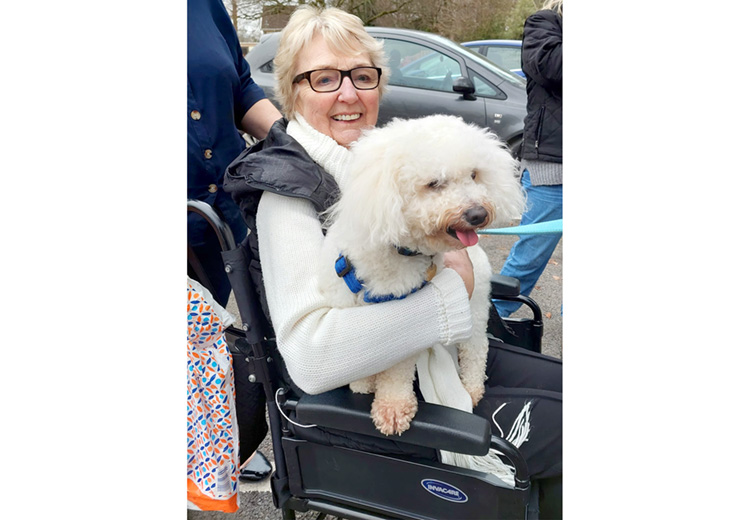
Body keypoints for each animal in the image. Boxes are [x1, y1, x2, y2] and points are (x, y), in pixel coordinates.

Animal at [320, 116, 524, 436]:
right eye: (434, 184)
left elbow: (396, 373)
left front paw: (392, 408)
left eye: (474, 175)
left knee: (476, 348)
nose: (478, 214)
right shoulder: (344, 302)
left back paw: (471, 387)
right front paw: (362, 384)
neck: (396, 252)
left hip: (476, 307)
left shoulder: (405, 329)